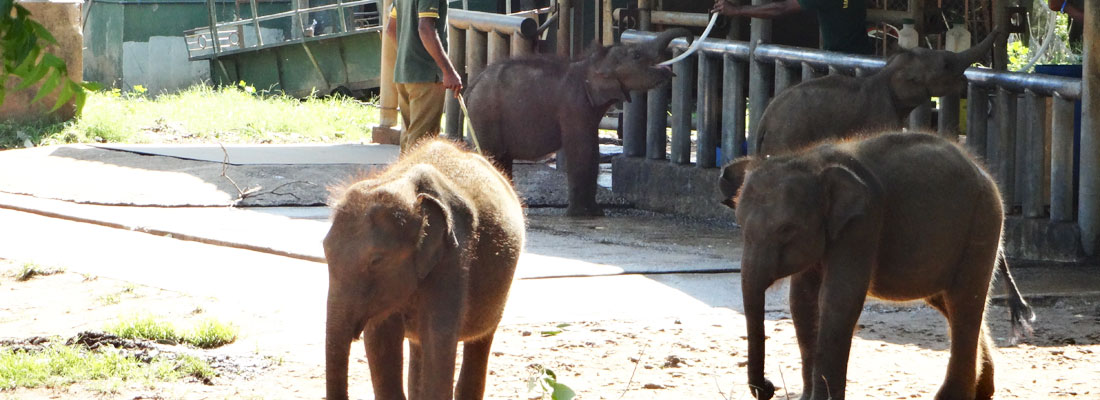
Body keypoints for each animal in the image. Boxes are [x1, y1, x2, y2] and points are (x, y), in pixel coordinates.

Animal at [321, 138, 523, 400]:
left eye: (376, 261)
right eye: (324, 250)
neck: (403, 184)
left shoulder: (453, 258)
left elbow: (438, 338)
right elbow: (379, 338)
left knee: (481, 339)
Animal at [466, 28, 695, 215]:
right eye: (636, 55)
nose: (690, 38)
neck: (592, 64)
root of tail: (471, 84)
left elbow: (593, 151)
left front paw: (596, 213)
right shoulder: (573, 105)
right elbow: (582, 150)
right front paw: (581, 214)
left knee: (502, 160)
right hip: (485, 115)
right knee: (493, 156)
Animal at [717, 131, 1034, 400]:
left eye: (786, 230)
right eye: (740, 225)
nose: (769, 387)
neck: (812, 161)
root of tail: (982, 170)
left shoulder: (863, 223)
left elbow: (838, 300)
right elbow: (802, 302)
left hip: (983, 223)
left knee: (965, 302)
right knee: (950, 304)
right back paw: (982, 390)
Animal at [756, 28, 1007, 154]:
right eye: (945, 64)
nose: (1000, 28)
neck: (887, 73)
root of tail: (764, 120)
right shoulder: (880, 116)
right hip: (788, 136)